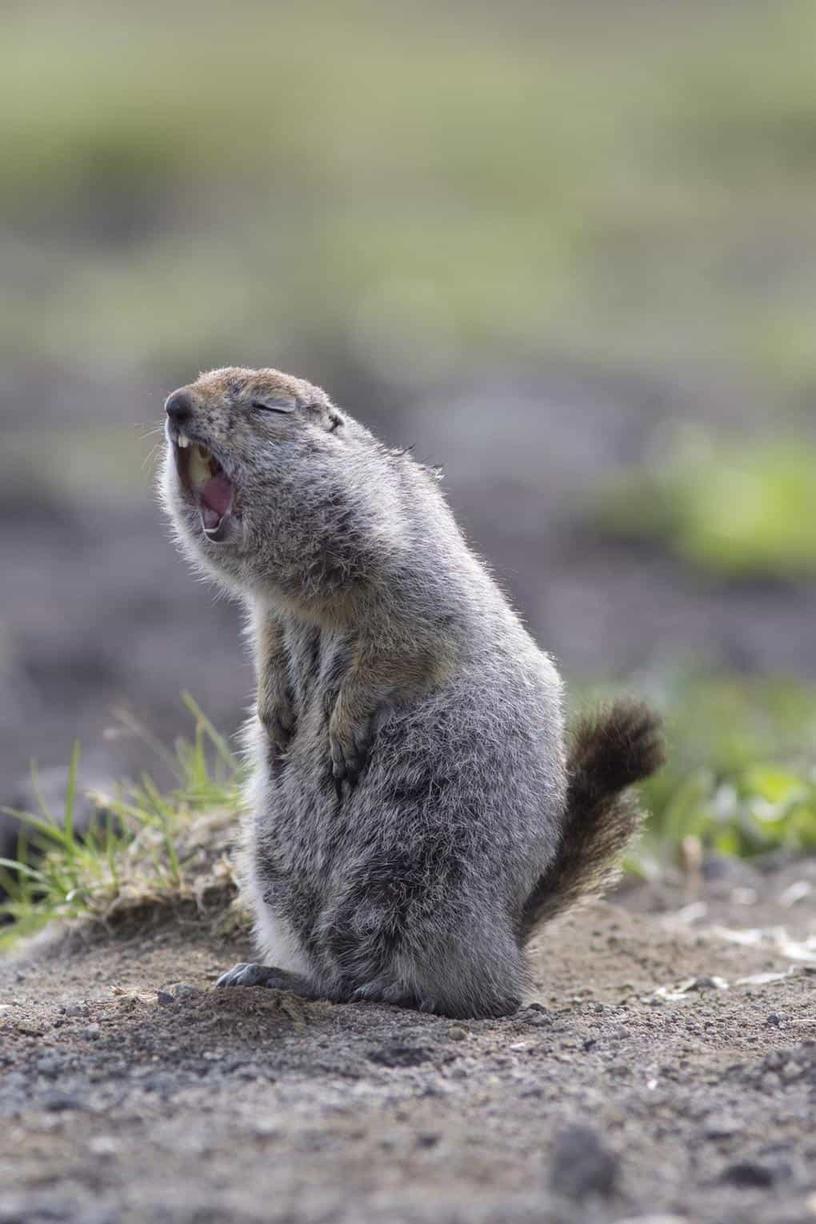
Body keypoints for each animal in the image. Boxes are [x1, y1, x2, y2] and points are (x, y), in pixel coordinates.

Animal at [159, 367, 665, 1018]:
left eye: (269, 408)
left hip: (417, 867)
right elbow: (267, 648)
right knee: (329, 964)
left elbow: (403, 646)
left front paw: (339, 733)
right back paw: (275, 974)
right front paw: (274, 717)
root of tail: (508, 940)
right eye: (197, 381)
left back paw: (397, 989)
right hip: (275, 869)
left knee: (462, 987)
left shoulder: (407, 578)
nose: (175, 405)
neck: (307, 599)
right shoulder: (270, 613)